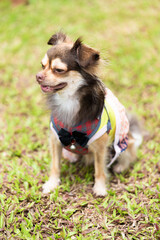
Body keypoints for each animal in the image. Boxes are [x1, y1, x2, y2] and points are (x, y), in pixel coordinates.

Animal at [35, 31, 142, 196]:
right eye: (42, 66)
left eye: (58, 70)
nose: (38, 76)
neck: (68, 100)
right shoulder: (55, 140)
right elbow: (55, 165)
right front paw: (52, 184)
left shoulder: (100, 148)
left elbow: (100, 170)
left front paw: (100, 188)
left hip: (122, 141)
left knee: (129, 153)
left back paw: (120, 166)